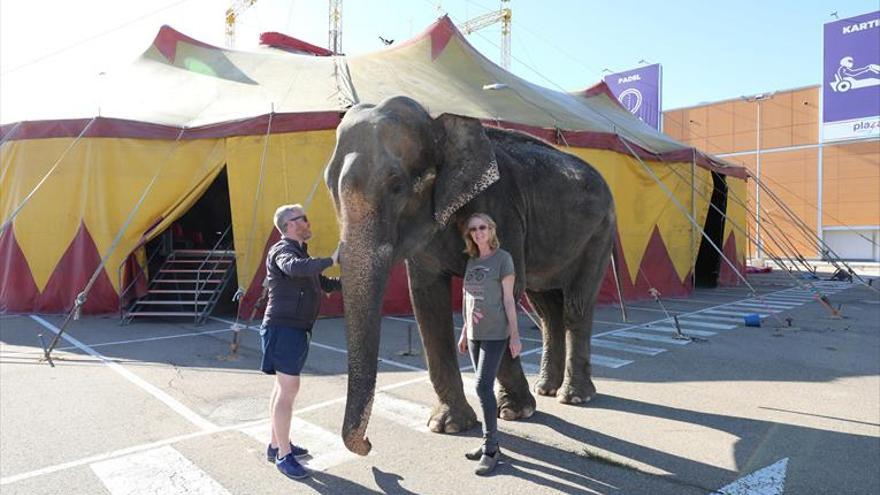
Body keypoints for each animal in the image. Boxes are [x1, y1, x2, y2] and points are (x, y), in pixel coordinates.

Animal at [322, 95, 612, 456]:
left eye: (397, 186)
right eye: (329, 185)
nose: (368, 444)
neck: (439, 124)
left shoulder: (503, 211)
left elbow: (506, 293)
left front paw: (515, 412)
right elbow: (427, 303)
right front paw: (449, 426)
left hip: (600, 233)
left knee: (575, 305)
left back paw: (573, 397)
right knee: (546, 309)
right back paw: (546, 388)